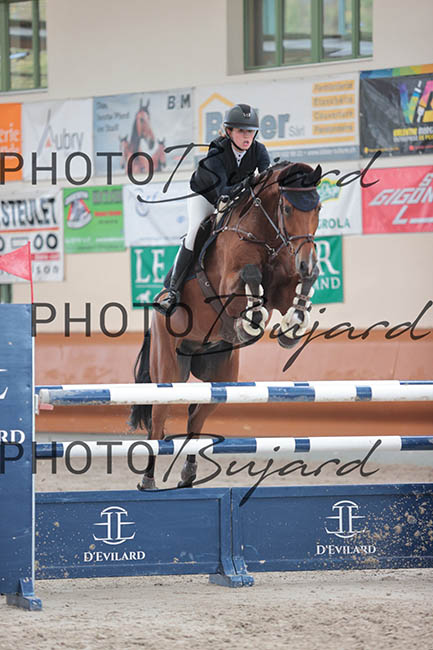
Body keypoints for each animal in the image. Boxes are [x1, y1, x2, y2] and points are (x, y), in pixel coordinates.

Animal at [129, 161, 322, 490]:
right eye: (286, 209)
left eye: (318, 207)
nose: (306, 263)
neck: (266, 236)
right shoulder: (226, 287)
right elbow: (249, 277)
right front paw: (251, 323)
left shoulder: (282, 290)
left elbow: (296, 295)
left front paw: (292, 327)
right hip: (169, 370)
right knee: (157, 422)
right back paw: (148, 480)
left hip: (221, 376)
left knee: (196, 417)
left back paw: (188, 474)